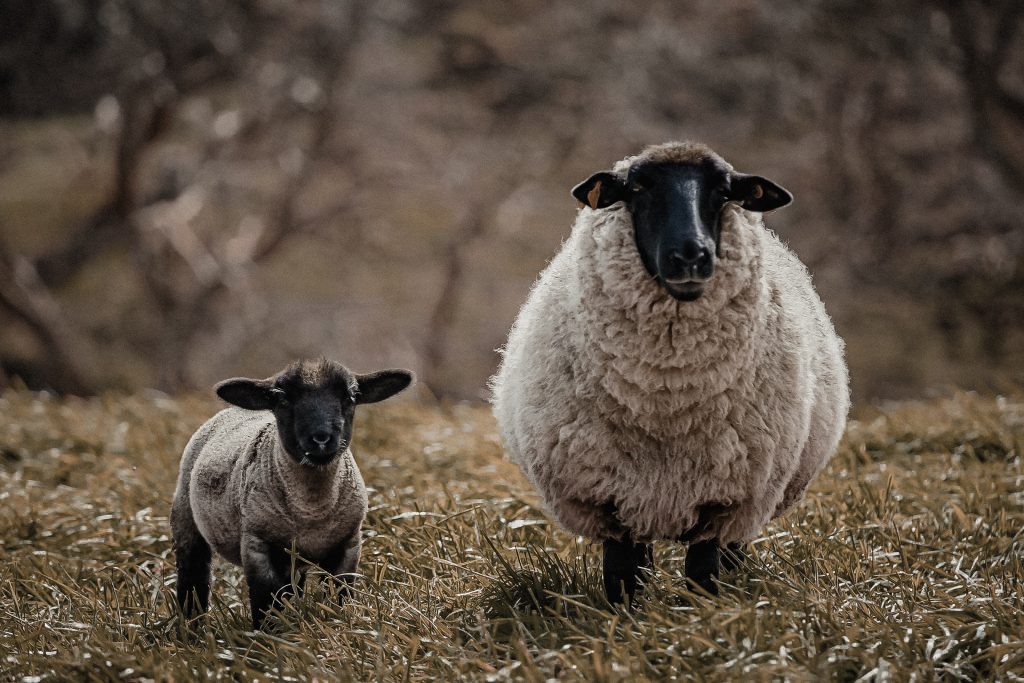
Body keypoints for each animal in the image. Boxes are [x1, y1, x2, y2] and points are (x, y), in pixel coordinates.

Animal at [172, 358, 411, 630]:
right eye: (283, 399)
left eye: (350, 398)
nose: (321, 438)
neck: (311, 509)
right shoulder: (257, 546)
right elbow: (265, 602)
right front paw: (268, 635)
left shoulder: (348, 545)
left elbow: (340, 595)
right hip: (186, 519)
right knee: (193, 578)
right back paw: (191, 625)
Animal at [487, 140, 847, 602]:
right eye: (638, 188)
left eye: (723, 191)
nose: (691, 255)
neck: (667, 397)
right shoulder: (610, 499)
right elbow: (623, 578)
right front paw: (625, 617)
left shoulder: (725, 500)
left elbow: (704, 575)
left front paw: (707, 613)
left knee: (734, 553)